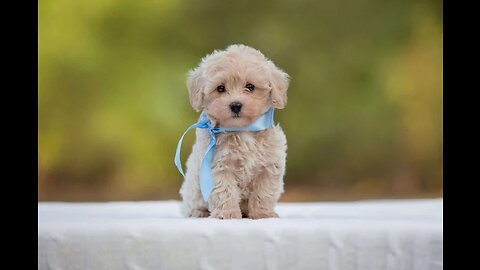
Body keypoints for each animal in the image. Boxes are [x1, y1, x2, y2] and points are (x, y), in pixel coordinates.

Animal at [176, 44, 288, 219]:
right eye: (220, 88)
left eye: (250, 86)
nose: (235, 105)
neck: (242, 130)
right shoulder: (219, 166)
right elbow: (224, 191)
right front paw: (227, 214)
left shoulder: (269, 167)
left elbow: (264, 193)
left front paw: (263, 214)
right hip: (192, 193)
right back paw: (198, 212)